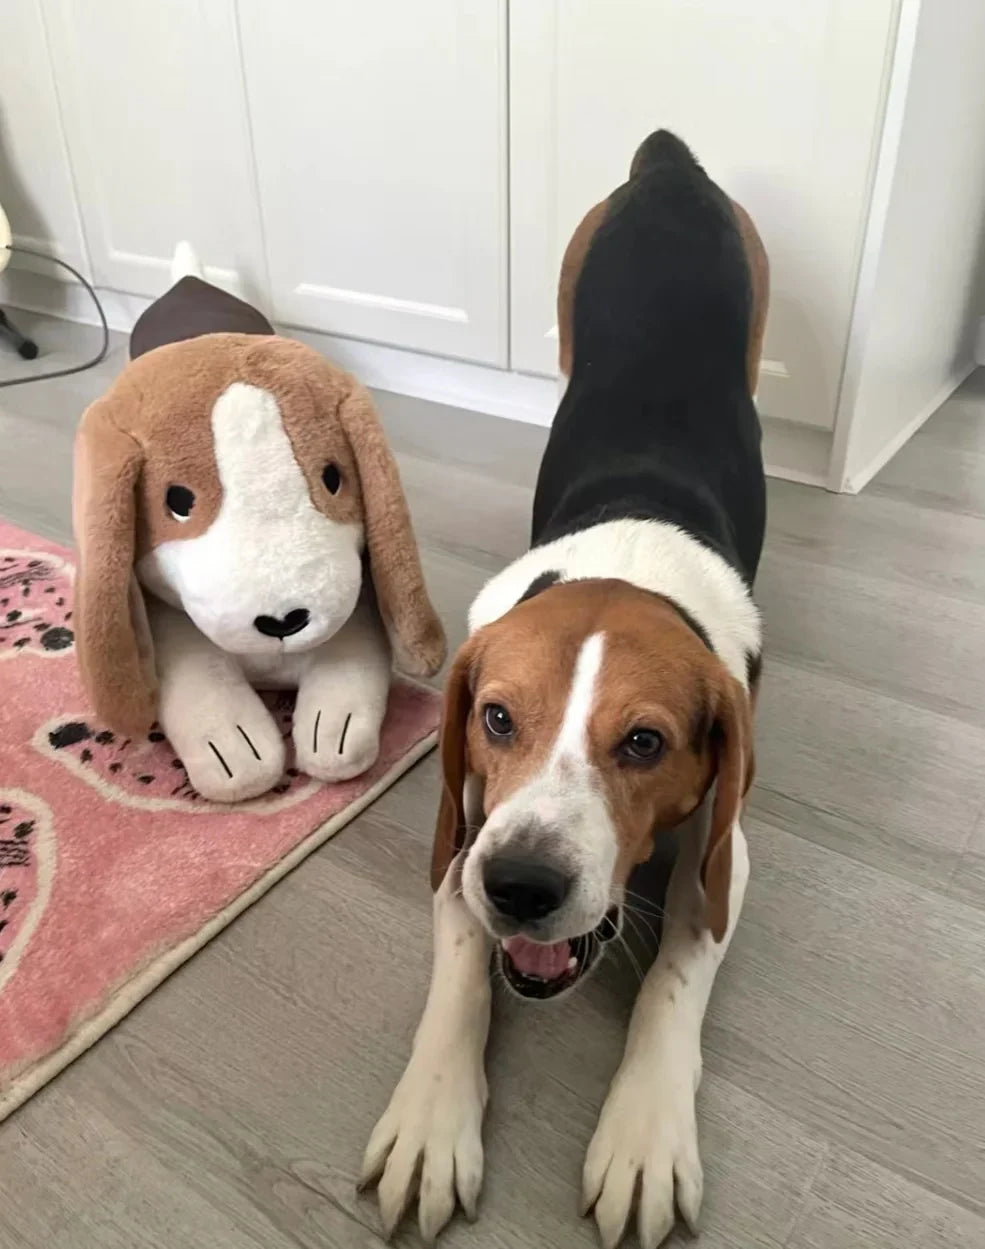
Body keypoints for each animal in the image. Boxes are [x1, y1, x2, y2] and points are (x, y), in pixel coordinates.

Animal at [362, 131, 769, 1244]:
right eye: (496, 718)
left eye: (645, 742)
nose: (522, 886)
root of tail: (670, 166)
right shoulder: (463, 831)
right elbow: (462, 960)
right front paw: (431, 1117)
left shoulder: (728, 853)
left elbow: (674, 973)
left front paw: (642, 1135)